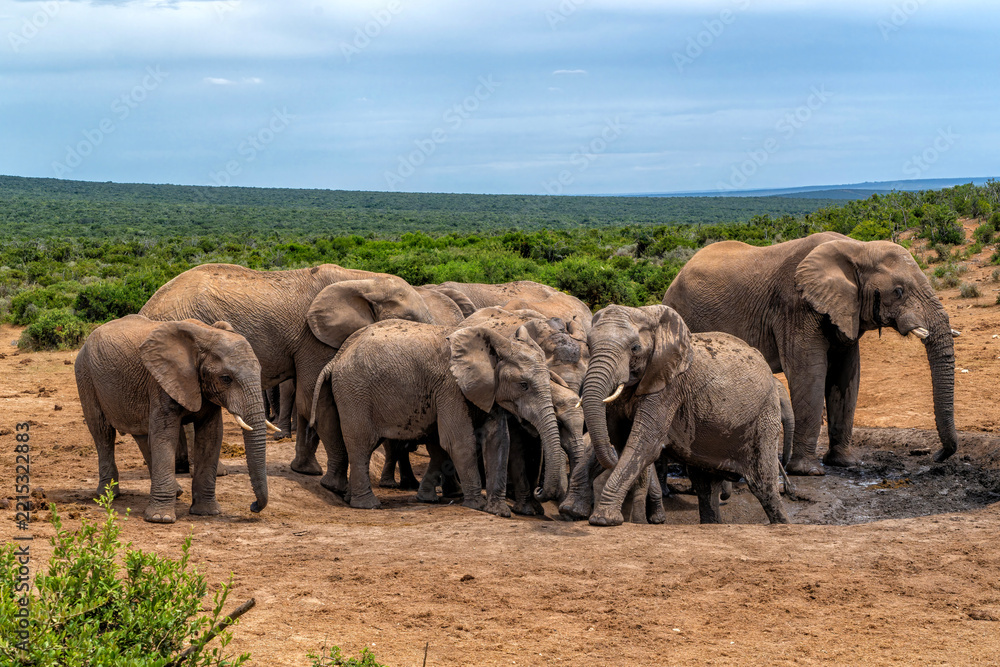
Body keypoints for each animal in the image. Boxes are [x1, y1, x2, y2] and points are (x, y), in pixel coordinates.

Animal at [74, 316, 270, 523]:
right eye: (226, 378)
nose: (253, 507)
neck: (206, 335)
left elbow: (212, 435)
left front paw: (206, 512)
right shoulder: (161, 381)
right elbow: (165, 434)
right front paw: (161, 519)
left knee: (141, 435)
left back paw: (176, 492)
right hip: (85, 375)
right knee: (102, 433)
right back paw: (107, 495)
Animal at [139, 263, 437, 483]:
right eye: (409, 320)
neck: (364, 280)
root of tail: (147, 307)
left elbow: (308, 402)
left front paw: (305, 469)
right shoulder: (315, 339)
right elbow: (314, 398)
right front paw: (323, 477)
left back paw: (181, 467)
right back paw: (215, 471)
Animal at [309, 321, 565, 515]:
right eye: (523, 385)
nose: (540, 491)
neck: (497, 342)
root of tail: (337, 358)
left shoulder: (488, 390)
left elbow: (498, 441)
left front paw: (498, 511)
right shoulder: (450, 386)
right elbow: (459, 442)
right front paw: (477, 505)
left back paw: (353, 497)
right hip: (354, 391)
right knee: (362, 444)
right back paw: (367, 505)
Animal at [581, 304, 789, 526]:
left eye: (635, 348)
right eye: (588, 345)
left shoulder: (670, 385)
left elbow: (645, 443)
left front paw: (603, 519)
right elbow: (623, 440)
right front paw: (631, 521)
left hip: (765, 414)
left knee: (764, 487)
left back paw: (780, 521)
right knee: (706, 487)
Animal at [663, 231, 958, 475]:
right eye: (898, 291)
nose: (936, 456)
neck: (858, 249)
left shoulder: (844, 311)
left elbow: (847, 375)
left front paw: (845, 462)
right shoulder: (796, 307)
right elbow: (809, 375)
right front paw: (808, 471)